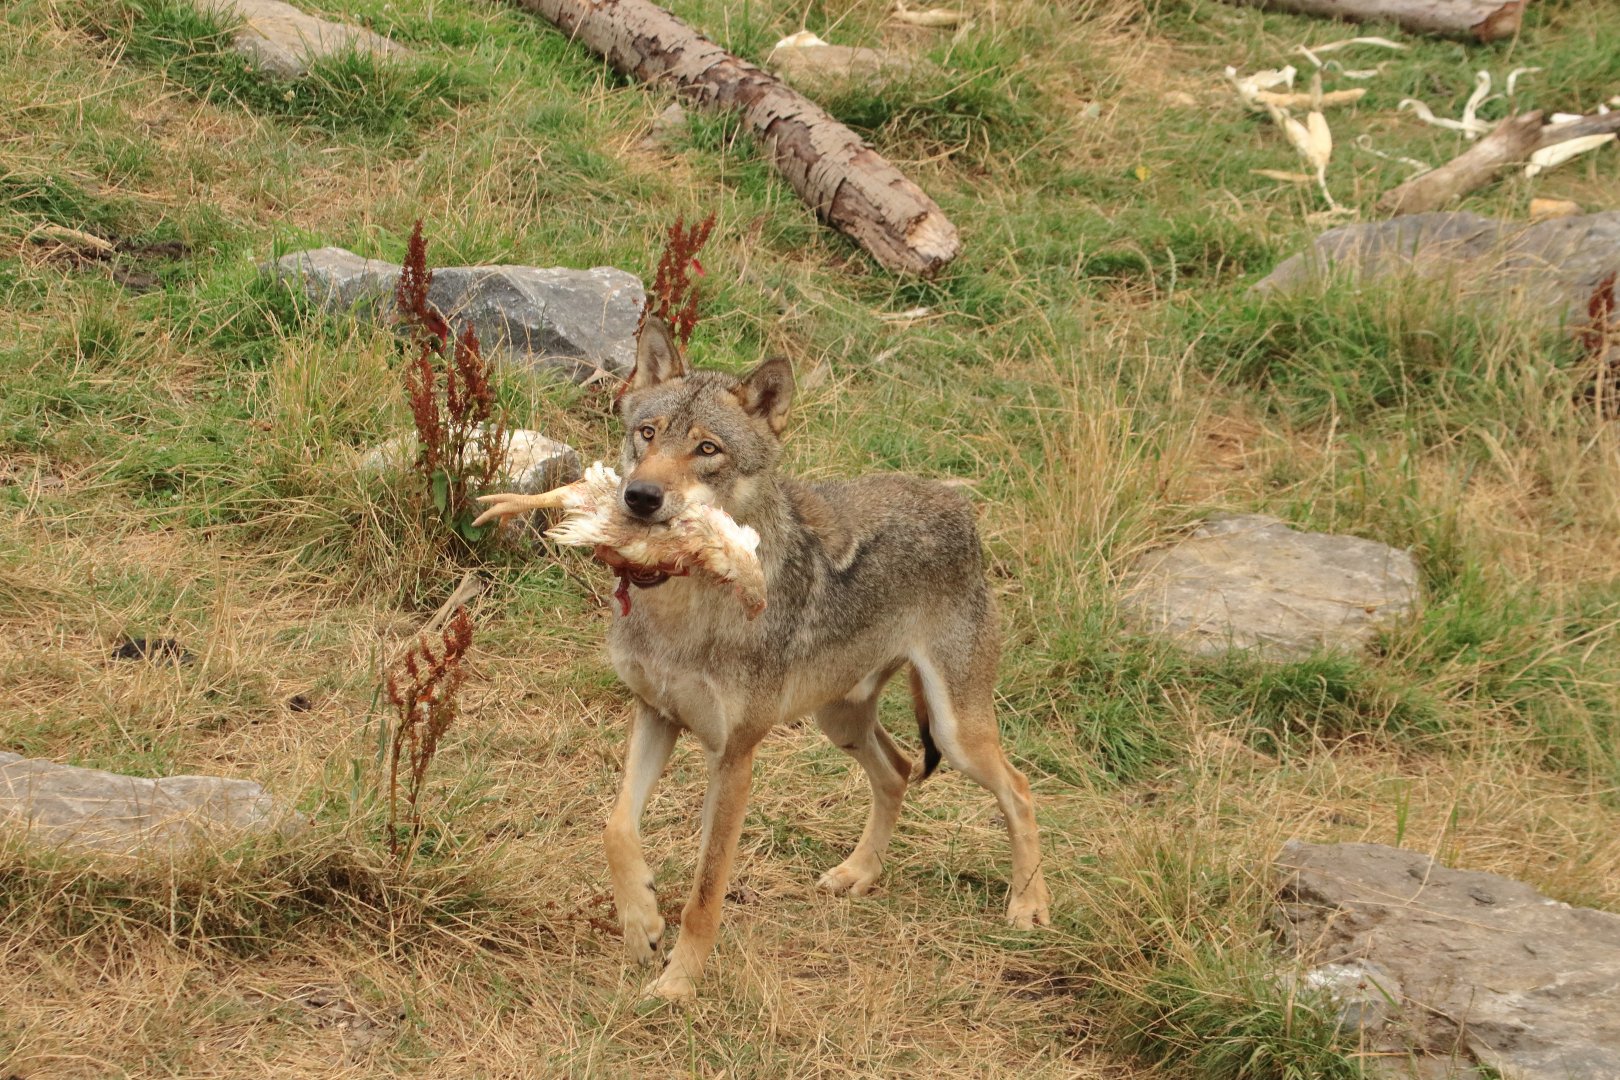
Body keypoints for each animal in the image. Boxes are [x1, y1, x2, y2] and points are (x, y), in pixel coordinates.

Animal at [489, 318, 1050, 1000]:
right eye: (647, 434)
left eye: (707, 449)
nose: (640, 498)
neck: (683, 606)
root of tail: (961, 508)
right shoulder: (656, 714)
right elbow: (616, 827)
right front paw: (641, 923)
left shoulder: (734, 756)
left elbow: (706, 893)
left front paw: (678, 985)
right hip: (841, 720)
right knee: (897, 770)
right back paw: (858, 873)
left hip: (955, 731)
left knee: (1017, 788)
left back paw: (1028, 906)